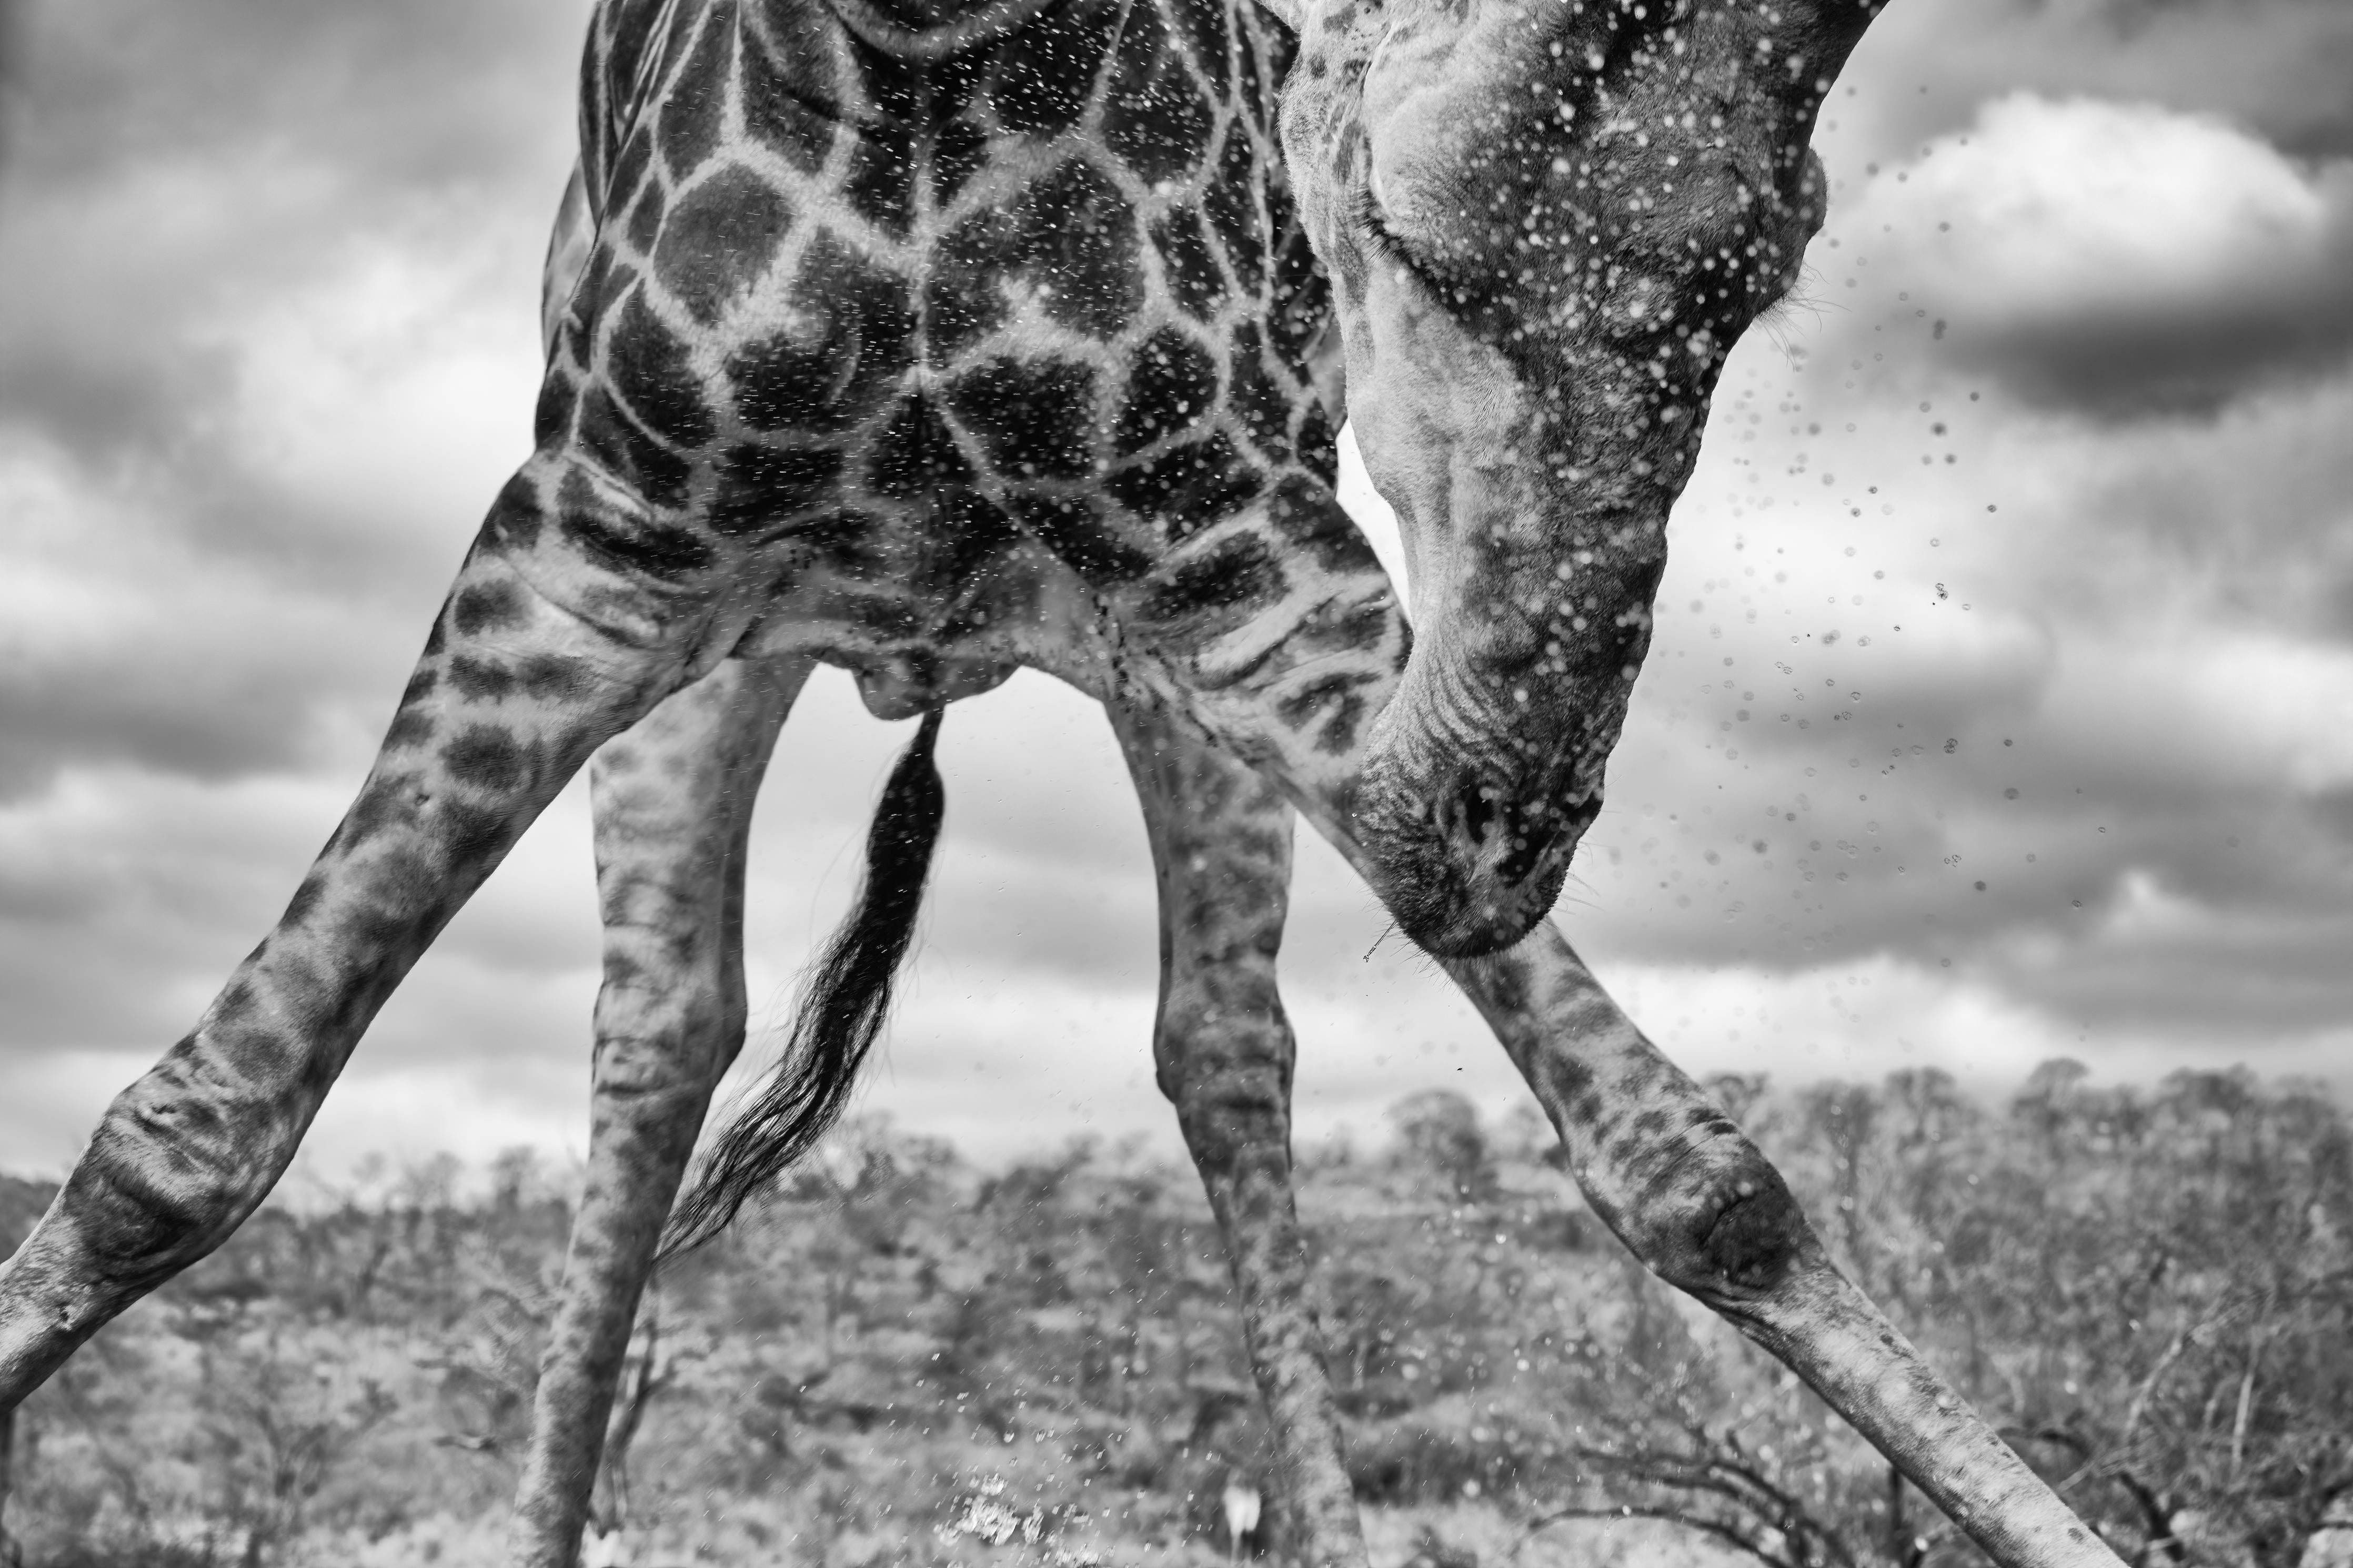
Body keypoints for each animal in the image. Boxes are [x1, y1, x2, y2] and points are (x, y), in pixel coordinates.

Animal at [0, 0, 2128, 1565]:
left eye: (1765, 276)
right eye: (1396, 237)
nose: (1501, 807)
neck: (929, 44)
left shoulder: (1234, 551)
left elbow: (1700, 1178)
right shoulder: (588, 541)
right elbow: (182, 1137)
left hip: (1158, 661)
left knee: (1223, 1049)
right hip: (730, 656)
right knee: (659, 1026)